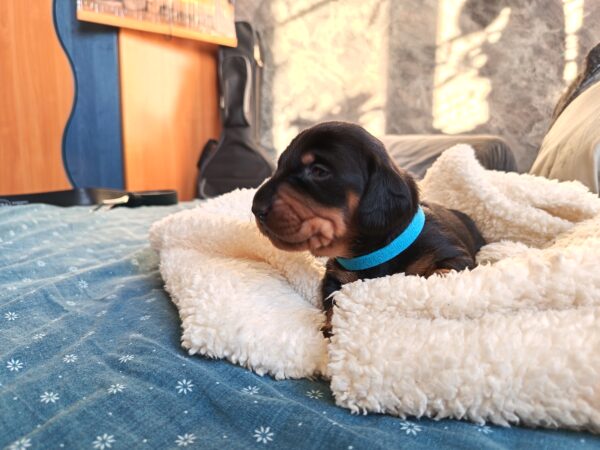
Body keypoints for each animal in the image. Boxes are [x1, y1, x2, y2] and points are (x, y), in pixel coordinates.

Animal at [252, 122, 485, 337]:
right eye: (279, 165)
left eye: (319, 171)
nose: (256, 209)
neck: (373, 254)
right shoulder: (335, 277)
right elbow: (333, 298)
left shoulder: (455, 257)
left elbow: (439, 273)